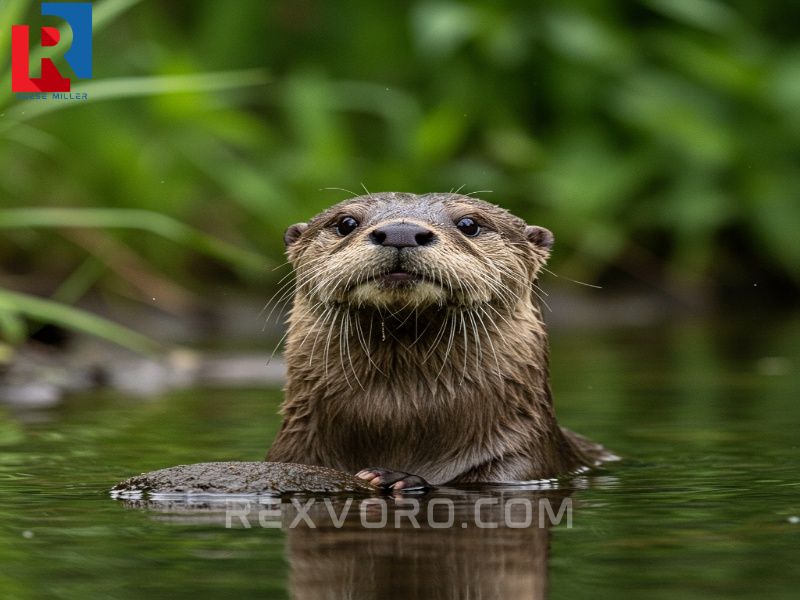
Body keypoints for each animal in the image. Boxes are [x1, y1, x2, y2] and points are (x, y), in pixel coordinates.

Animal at [267, 192, 612, 490]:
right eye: (346, 223)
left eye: (469, 224)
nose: (401, 232)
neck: (399, 414)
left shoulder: (524, 460)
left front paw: (398, 478)